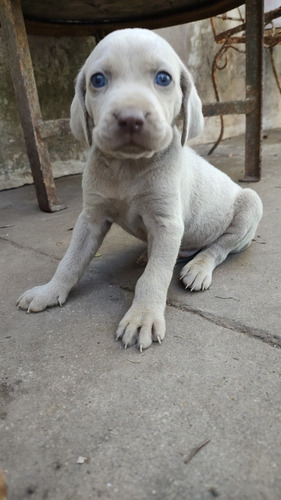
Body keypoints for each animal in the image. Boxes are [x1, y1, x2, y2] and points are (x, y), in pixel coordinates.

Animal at [18, 28, 262, 352]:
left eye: (164, 78)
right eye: (97, 80)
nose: (130, 118)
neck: (128, 167)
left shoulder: (166, 223)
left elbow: (154, 278)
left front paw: (143, 317)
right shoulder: (91, 217)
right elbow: (70, 261)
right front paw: (49, 291)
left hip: (250, 206)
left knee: (218, 248)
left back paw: (198, 268)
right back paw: (154, 254)